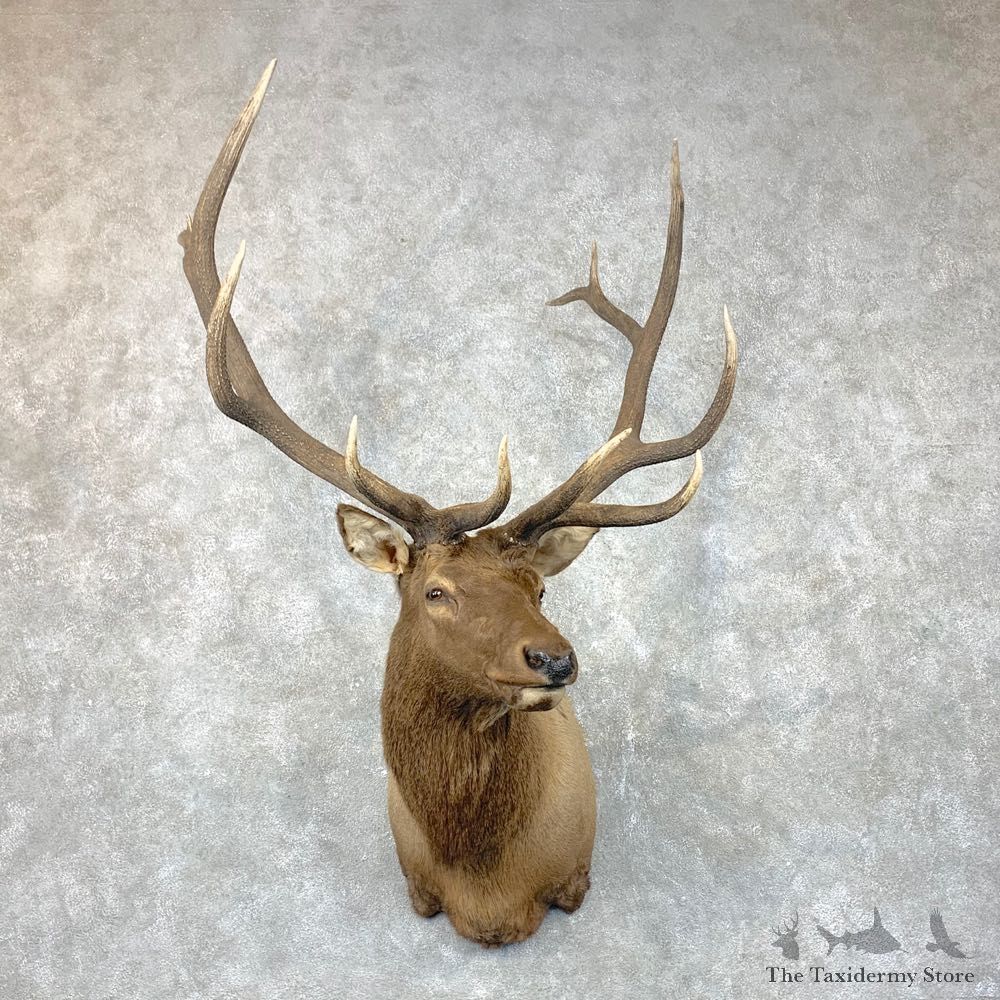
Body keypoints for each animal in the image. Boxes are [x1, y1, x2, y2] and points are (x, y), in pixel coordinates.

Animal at [179, 60, 737, 947]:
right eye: (436, 591)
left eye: (539, 587)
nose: (555, 660)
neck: (485, 888)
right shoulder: (416, 888)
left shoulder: (576, 877)